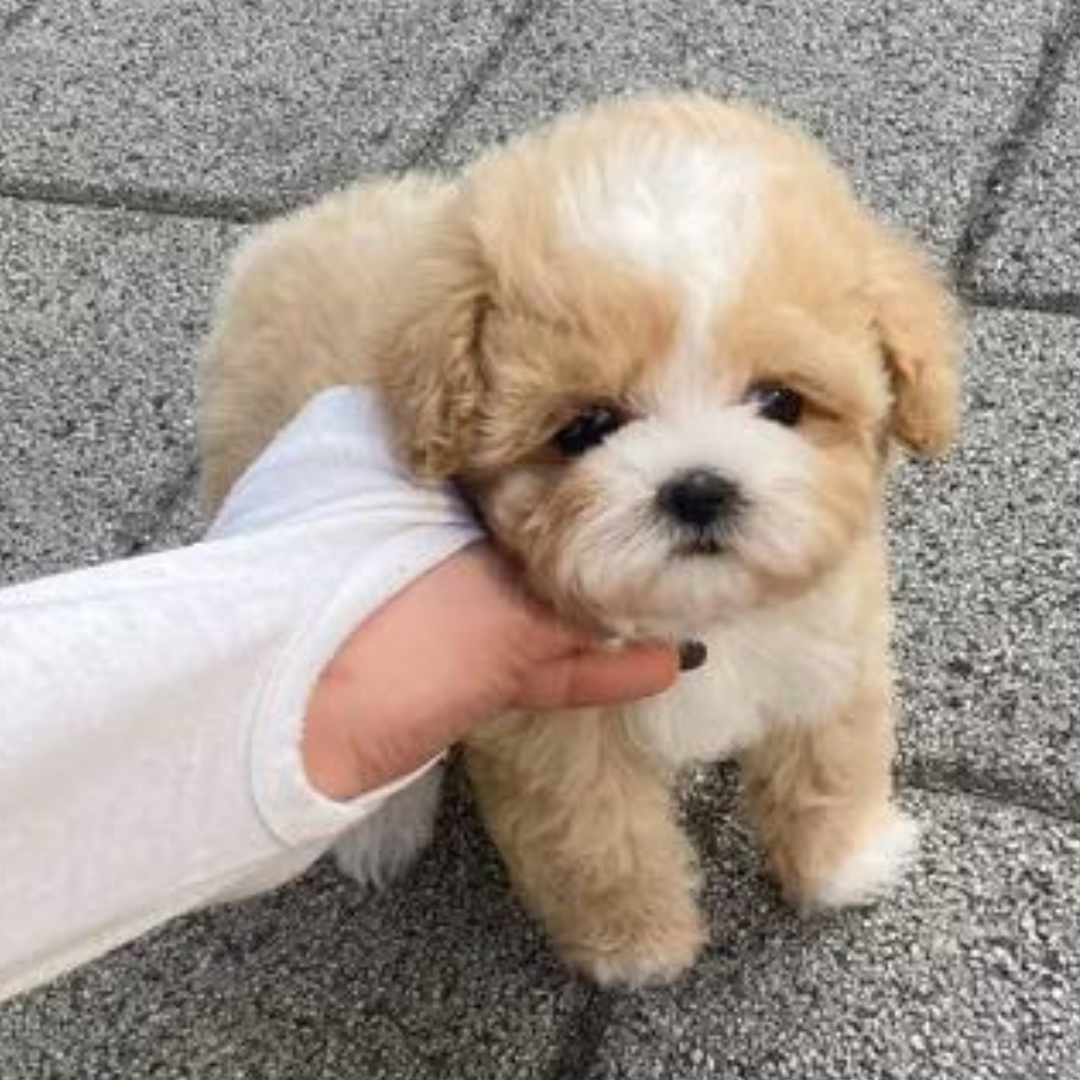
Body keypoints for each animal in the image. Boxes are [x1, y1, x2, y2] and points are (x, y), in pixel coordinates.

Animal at [198, 95, 959, 989]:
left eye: (781, 402)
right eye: (585, 429)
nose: (698, 487)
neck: (702, 621)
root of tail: (286, 237)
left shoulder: (829, 652)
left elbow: (830, 764)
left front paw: (844, 865)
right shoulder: (551, 733)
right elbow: (600, 845)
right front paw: (638, 951)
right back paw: (381, 829)